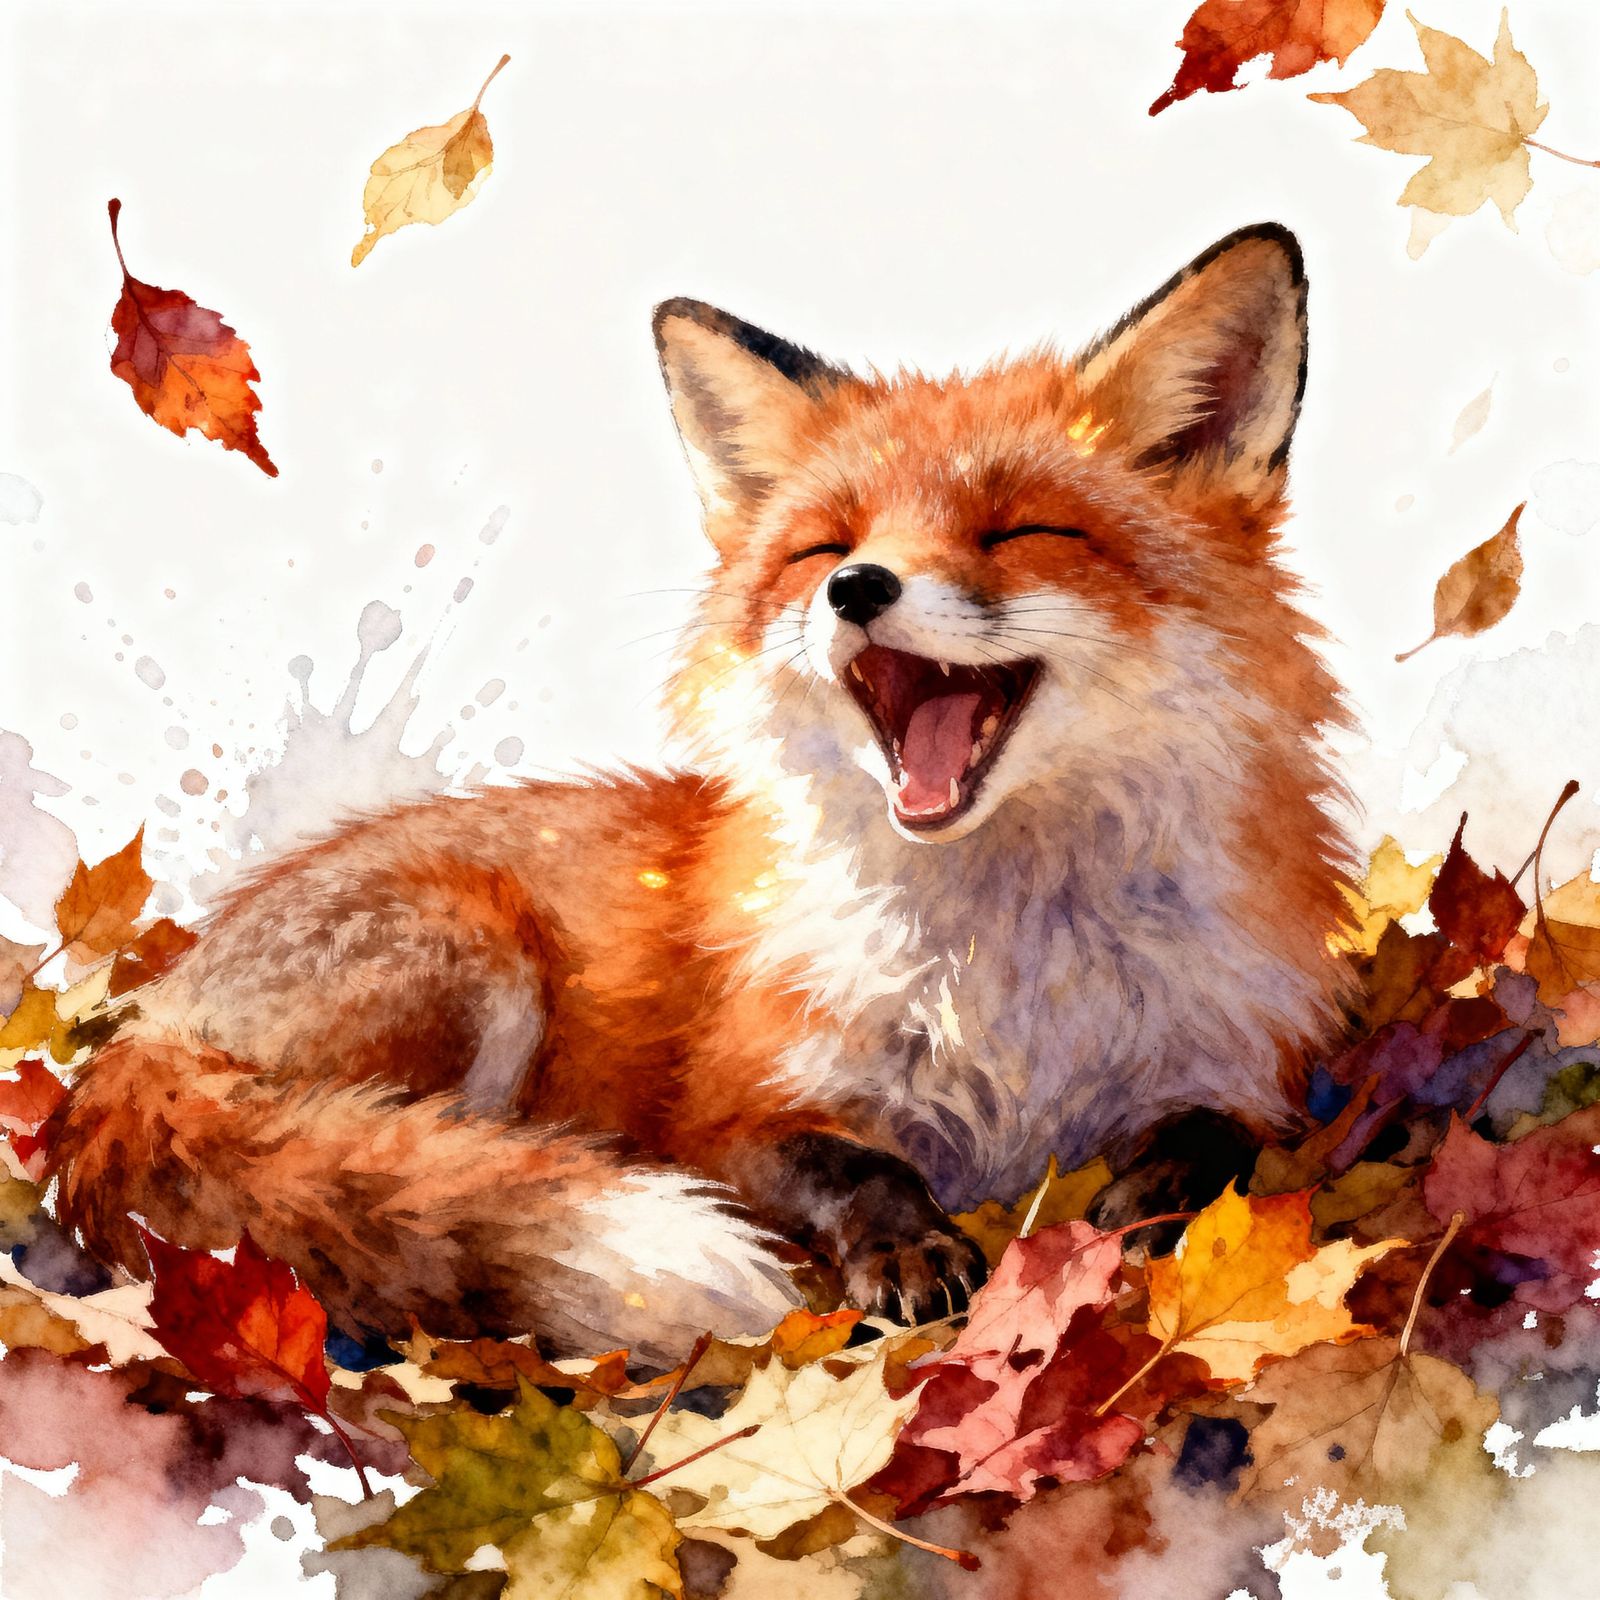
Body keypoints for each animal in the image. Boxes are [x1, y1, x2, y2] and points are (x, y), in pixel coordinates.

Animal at [49, 223, 1352, 1362]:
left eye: (1018, 529)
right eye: (825, 546)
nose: (858, 589)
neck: (1010, 974)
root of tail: (145, 1025)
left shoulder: (1243, 1065)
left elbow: (1216, 1143)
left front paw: (1135, 1211)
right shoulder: (731, 1113)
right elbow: (851, 1163)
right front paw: (906, 1246)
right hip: (474, 952)